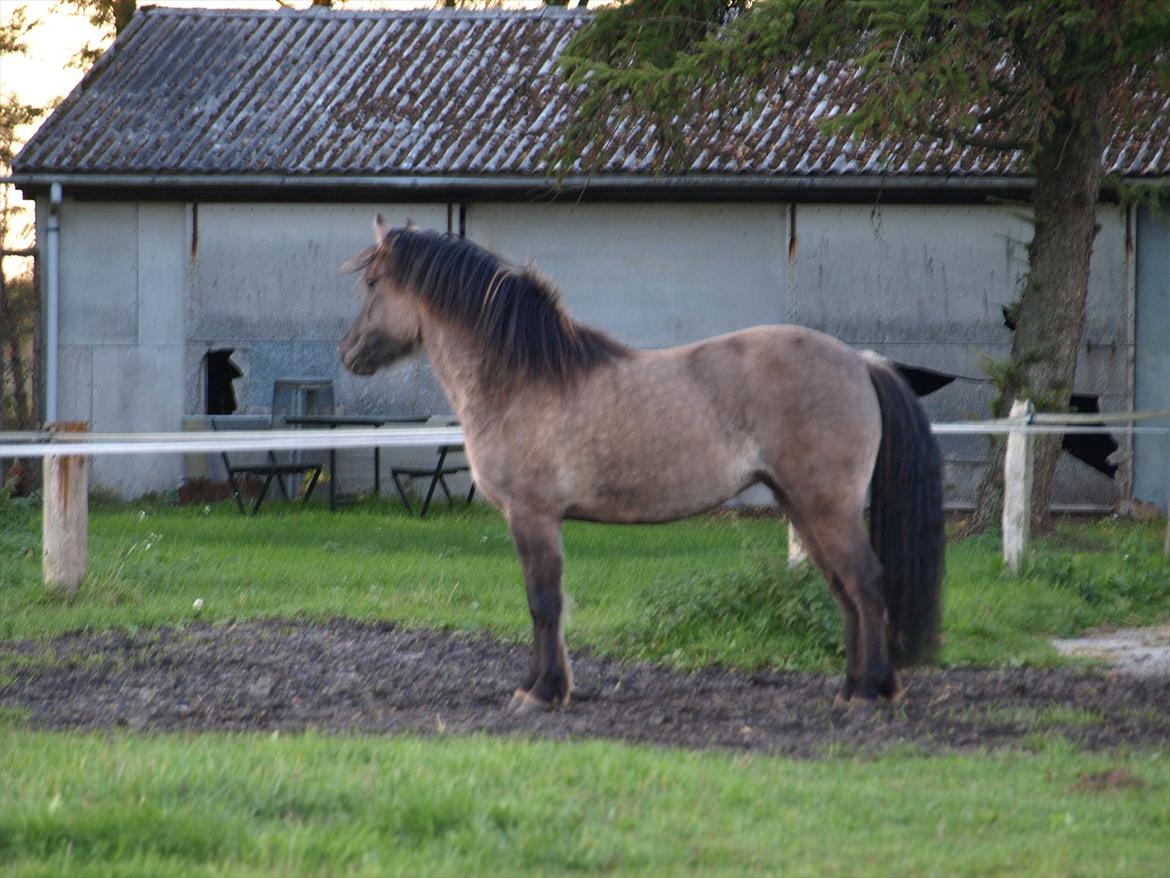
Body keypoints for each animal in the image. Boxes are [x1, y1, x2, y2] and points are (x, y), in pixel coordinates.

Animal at [339, 215, 940, 716]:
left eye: (372, 284)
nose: (348, 353)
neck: (522, 379)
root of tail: (860, 362)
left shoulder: (532, 516)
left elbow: (543, 603)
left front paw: (541, 692)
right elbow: (546, 605)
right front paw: (544, 685)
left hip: (828, 507)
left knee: (865, 584)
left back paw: (868, 693)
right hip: (804, 507)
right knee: (844, 591)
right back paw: (852, 687)